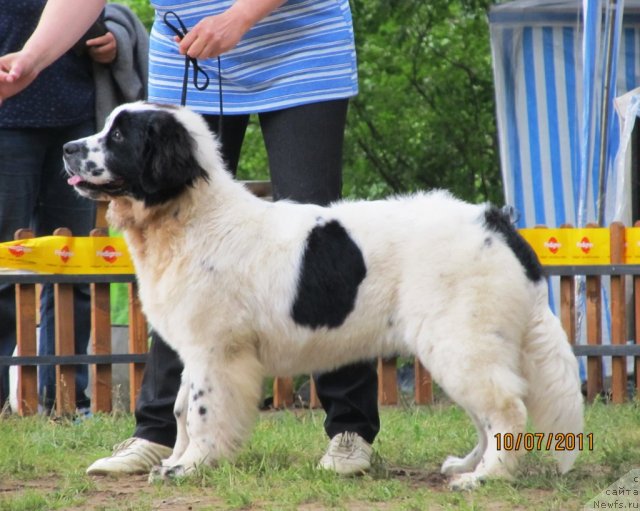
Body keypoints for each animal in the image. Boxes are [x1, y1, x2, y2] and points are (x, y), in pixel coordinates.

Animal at [63, 100, 584, 488]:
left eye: (118, 137)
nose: (67, 148)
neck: (188, 215)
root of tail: (497, 222)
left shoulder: (217, 350)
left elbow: (203, 410)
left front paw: (192, 467)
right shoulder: (194, 347)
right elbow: (179, 408)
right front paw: (175, 460)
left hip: (461, 341)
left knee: (506, 409)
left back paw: (486, 477)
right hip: (460, 347)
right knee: (487, 412)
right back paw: (467, 465)